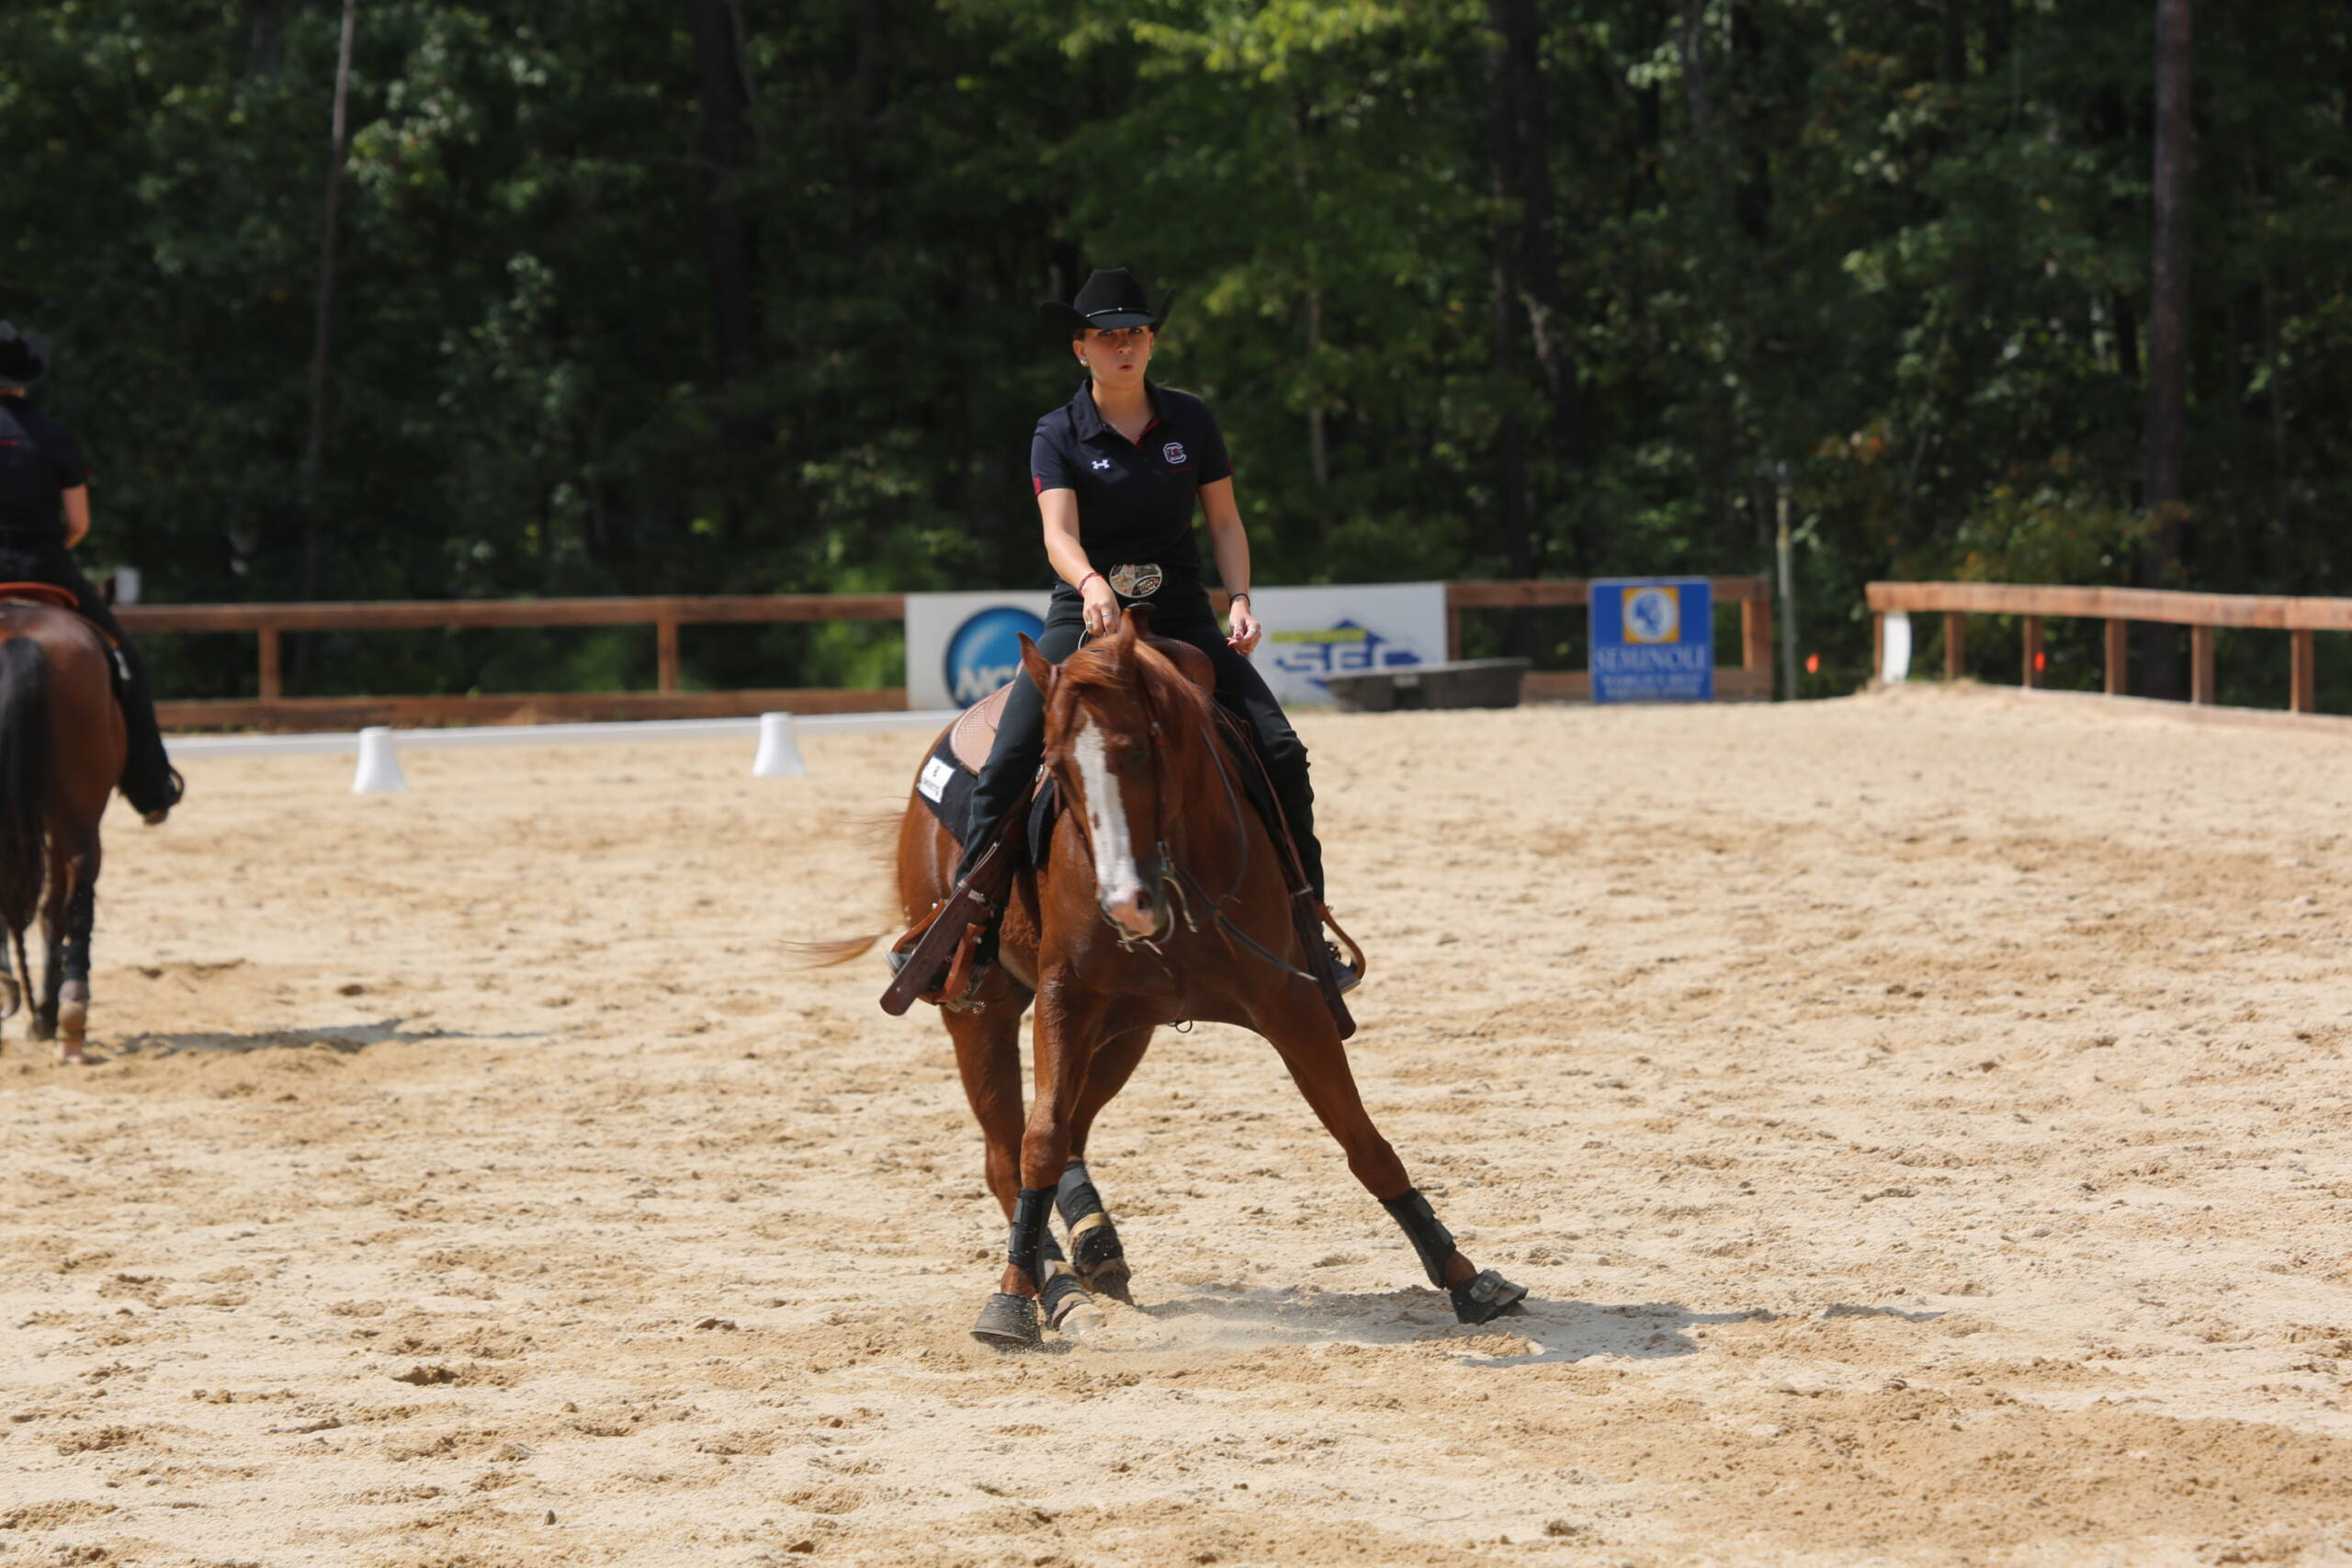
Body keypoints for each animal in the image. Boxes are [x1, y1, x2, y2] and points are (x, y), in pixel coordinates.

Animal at [875, 611, 1514, 1354]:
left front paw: (1466, 1277)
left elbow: (1363, 1142)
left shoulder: (1290, 1000)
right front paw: (1008, 1301)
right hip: (982, 1012)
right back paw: (1058, 1288)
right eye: (1053, 769)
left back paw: (1095, 1244)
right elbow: (1037, 1145)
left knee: (1074, 1132)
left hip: (1126, 1031)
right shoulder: (1065, 998)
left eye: (1140, 750)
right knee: (1010, 1153)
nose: (1123, 904)